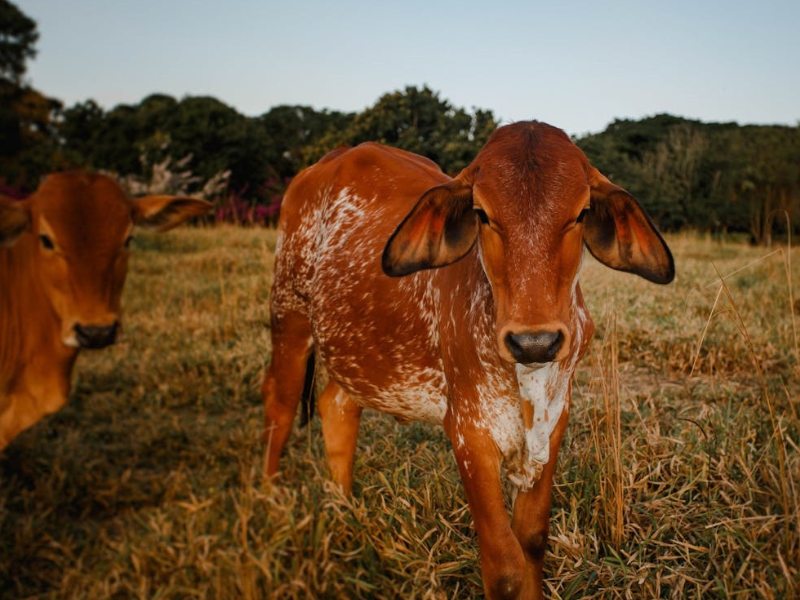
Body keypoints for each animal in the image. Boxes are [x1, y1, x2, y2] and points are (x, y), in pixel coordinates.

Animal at [264, 119, 676, 596]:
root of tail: (332, 159)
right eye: (482, 214)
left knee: (337, 405)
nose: (534, 342)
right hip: (289, 316)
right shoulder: (468, 432)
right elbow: (505, 567)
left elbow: (532, 540)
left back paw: (345, 512)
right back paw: (268, 501)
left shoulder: (555, 420)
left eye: (581, 212)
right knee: (279, 404)